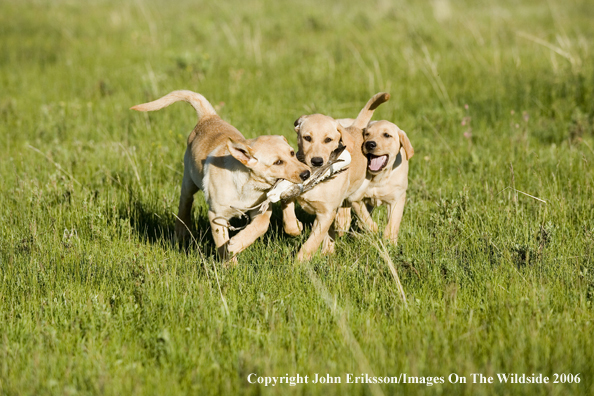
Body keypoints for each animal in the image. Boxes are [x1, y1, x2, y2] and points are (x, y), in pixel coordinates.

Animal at [131, 89, 310, 260]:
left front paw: (238, 243)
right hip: (189, 179)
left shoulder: (260, 209)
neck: (246, 184)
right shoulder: (216, 216)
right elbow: (222, 243)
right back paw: (181, 231)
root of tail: (209, 117)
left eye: (292, 153)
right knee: (185, 203)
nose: (306, 173)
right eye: (278, 162)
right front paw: (231, 263)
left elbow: (261, 225)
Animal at [282, 92, 388, 260]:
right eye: (307, 138)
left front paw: (299, 262)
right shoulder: (291, 190)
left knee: (355, 208)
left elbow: (311, 243)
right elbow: (288, 215)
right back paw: (329, 247)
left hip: (356, 191)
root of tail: (355, 128)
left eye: (328, 140)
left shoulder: (325, 214)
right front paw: (296, 228)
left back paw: (350, 223)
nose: (317, 161)